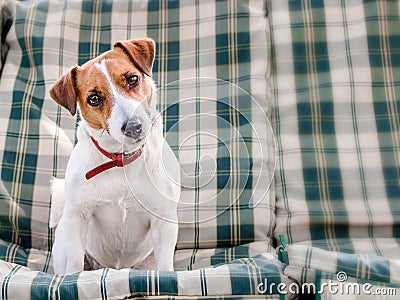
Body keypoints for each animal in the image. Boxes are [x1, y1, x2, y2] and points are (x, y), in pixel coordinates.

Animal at [48, 38, 181, 276]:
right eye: (94, 98)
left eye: (132, 79)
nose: (133, 127)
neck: (121, 160)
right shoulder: (78, 217)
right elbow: (74, 265)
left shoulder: (164, 220)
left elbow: (165, 265)